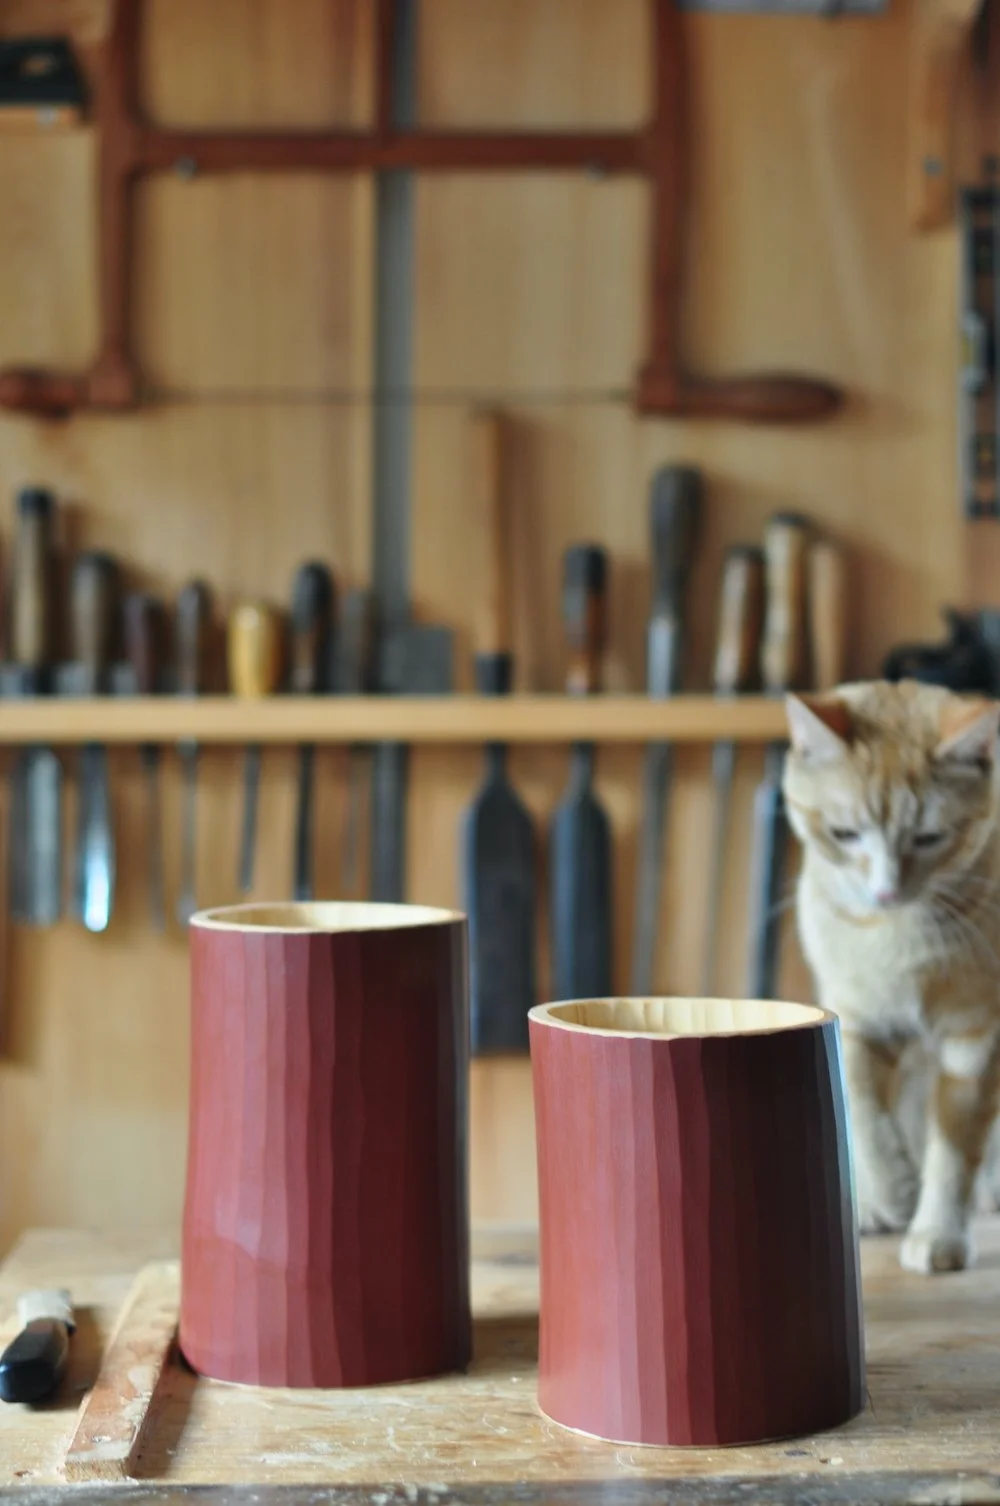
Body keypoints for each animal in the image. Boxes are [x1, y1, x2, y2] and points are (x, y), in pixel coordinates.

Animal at [782, 678, 1000, 1274]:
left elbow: (955, 1145)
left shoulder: (976, 1038)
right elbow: (861, 1106)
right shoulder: (855, 1019)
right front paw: (890, 1190)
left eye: (928, 838)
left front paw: (938, 1231)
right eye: (845, 834)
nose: (885, 891)